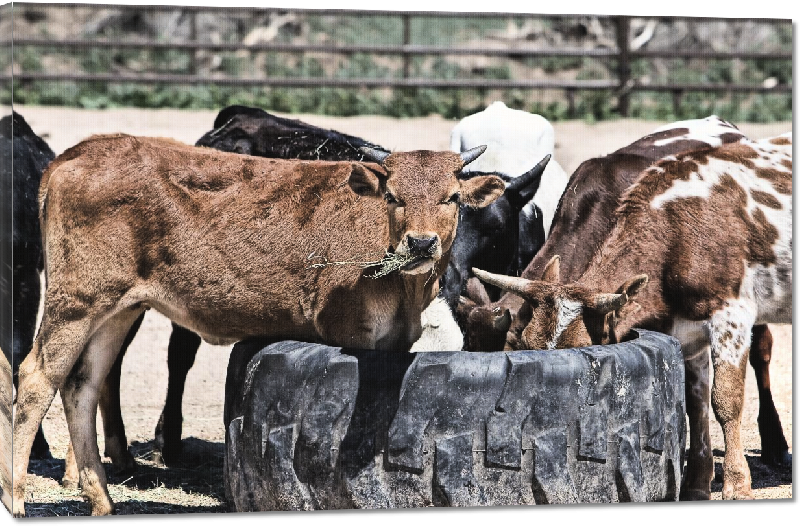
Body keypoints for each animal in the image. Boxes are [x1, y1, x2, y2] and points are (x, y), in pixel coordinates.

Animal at [472, 133, 792, 504]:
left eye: (584, 350)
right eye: (524, 343)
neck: (676, 231)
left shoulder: (731, 316)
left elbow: (725, 401)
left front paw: (737, 484)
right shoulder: (687, 331)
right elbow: (695, 403)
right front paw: (697, 483)